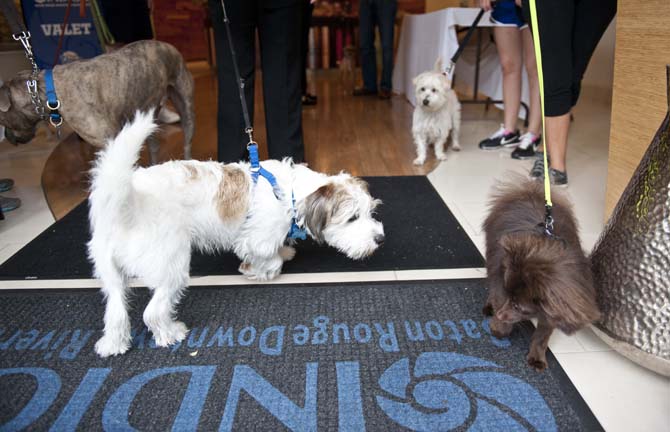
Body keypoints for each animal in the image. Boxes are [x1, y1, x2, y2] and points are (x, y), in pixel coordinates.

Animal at [88, 112, 388, 358]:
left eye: (370, 211)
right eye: (352, 218)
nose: (379, 239)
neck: (290, 194)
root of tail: (125, 203)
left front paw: (283, 251)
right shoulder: (256, 240)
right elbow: (268, 258)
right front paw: (257, 270)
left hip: (110, 275)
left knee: (115, 312)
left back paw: (113, 344)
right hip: (172, 265)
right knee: (152, 312)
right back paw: (170, 333)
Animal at [484, 177, 604, 370]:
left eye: (518, 306)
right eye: (507, 295)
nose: (501, 314)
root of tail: (532, 191)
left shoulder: (552, 314)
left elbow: (542, 336)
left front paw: (537, 358)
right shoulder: (499, 281)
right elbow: (497, 296)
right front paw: (499, 327)